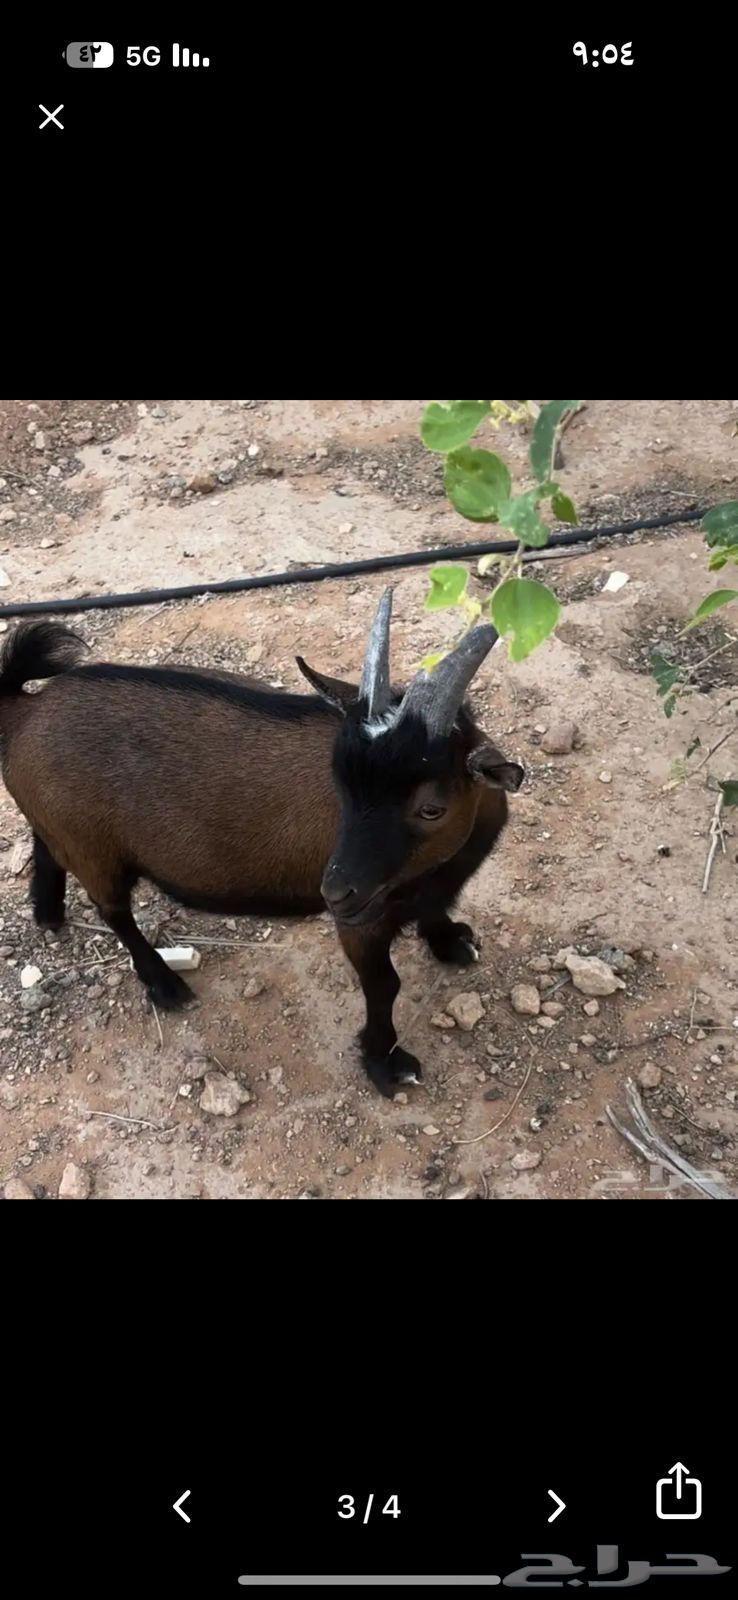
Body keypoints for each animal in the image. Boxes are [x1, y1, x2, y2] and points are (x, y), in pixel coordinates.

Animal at [0, 592, 523, 1096]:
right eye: (341, 782)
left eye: (431, 808)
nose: (336, 891)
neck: (433, 870)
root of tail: (24, 712)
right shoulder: (363, 922)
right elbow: (383, 986)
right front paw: (386, 1065)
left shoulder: (429, 890)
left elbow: (436, 915)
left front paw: (452, 943)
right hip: (95, 851)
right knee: (112, 910)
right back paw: (164, 984)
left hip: (63, 829)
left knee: (45, 845)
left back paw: (48, 911)